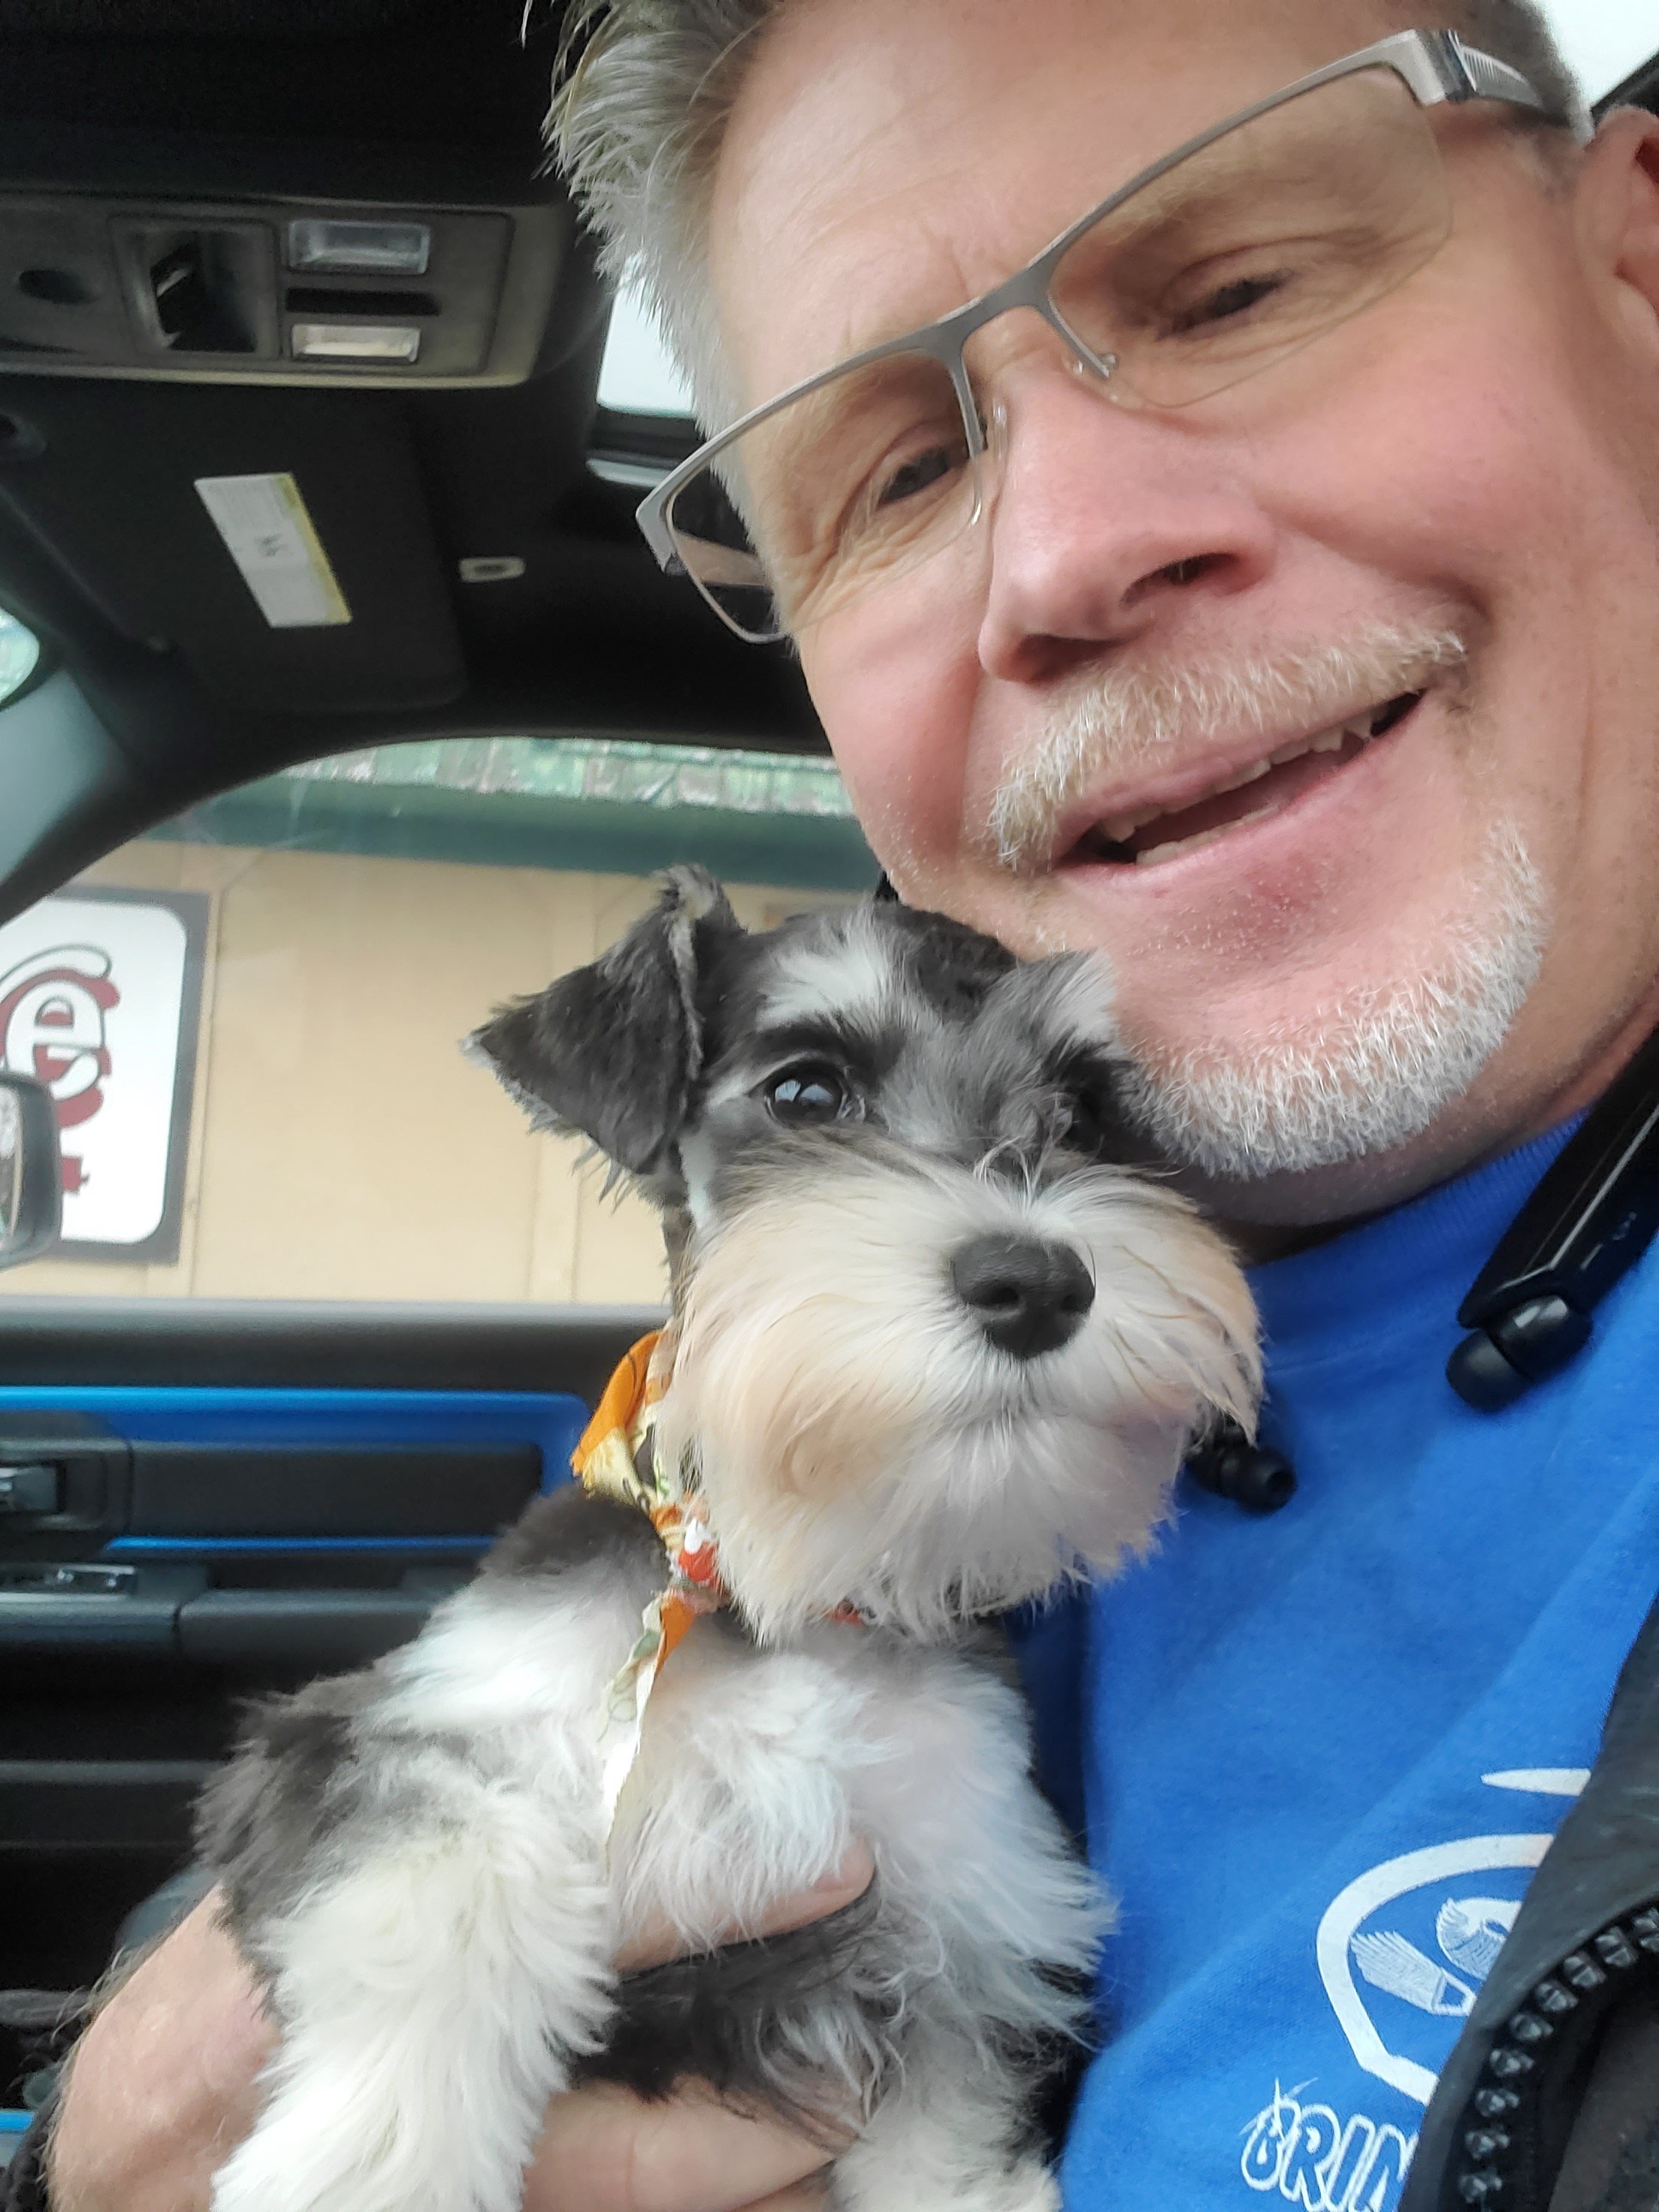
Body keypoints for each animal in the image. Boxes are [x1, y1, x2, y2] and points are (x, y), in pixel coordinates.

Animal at [197, 869, 1259, 2212]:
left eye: (1078, 1113)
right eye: (807, 1090)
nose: (1040, 1283)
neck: (775, 1582)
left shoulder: (972, 1920)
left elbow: (946, 2143)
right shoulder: (377, 1733)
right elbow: (454, 1877)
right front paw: (375, 2167)